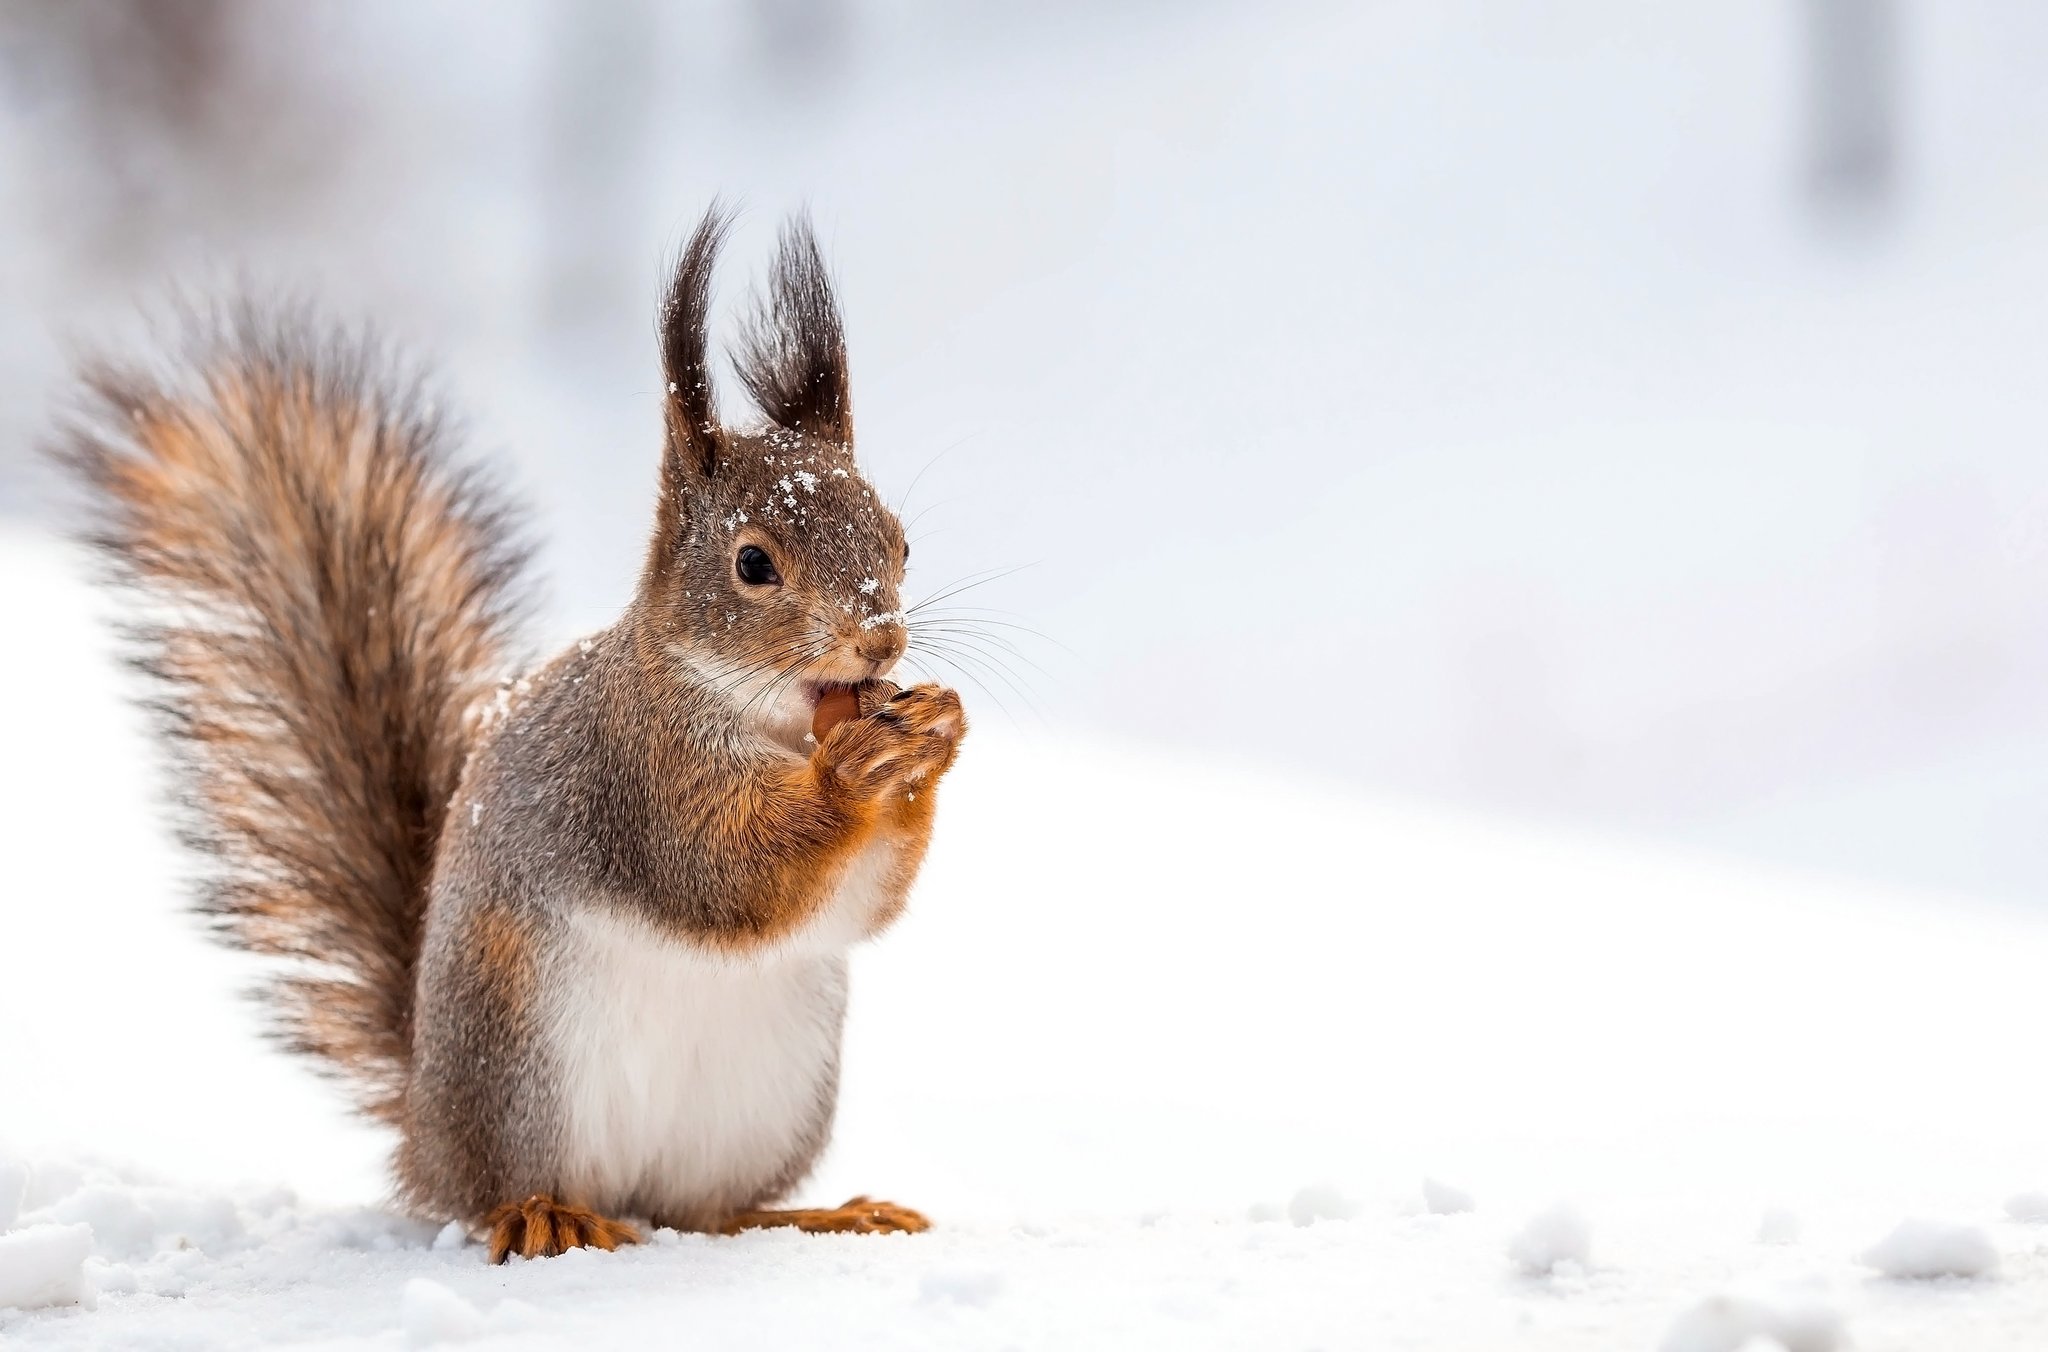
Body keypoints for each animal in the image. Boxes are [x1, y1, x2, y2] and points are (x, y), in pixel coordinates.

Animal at [57, 207, 966, 1263]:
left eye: (900, 540)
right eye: (752, 564)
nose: (882, 638)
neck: (769, 718)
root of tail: (424, 1134)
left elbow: (862, 905)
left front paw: (934, 735)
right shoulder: (636, 773)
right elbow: (723, 869)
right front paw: (851, 774)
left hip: (770, 1096)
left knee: (710, 1211)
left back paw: (829, 1213)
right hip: (516, 1058)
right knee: (507, 1189)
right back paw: (543, 1213)